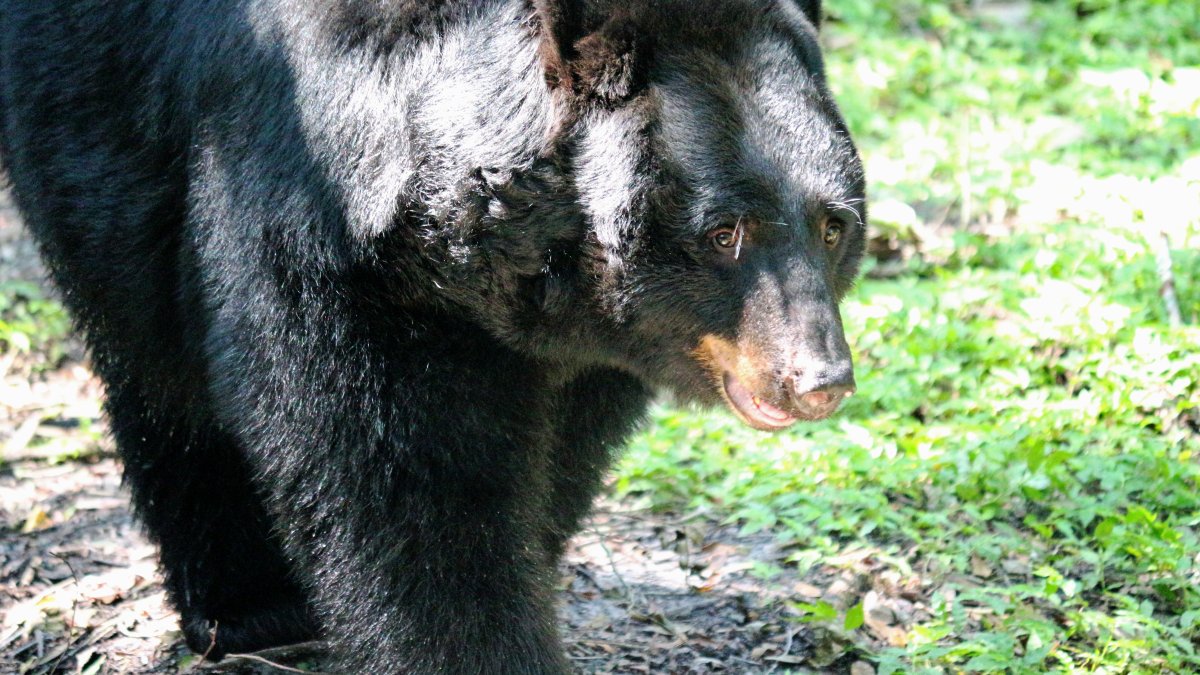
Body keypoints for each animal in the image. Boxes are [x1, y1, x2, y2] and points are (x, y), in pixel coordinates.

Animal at [0, 0, 864, 667]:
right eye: (724, 231)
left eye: (833, 225)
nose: (819, 379)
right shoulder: (314, 215)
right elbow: (405, 480)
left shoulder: (596, 334)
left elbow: (559, 451)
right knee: (160, 368)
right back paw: (249, 606)